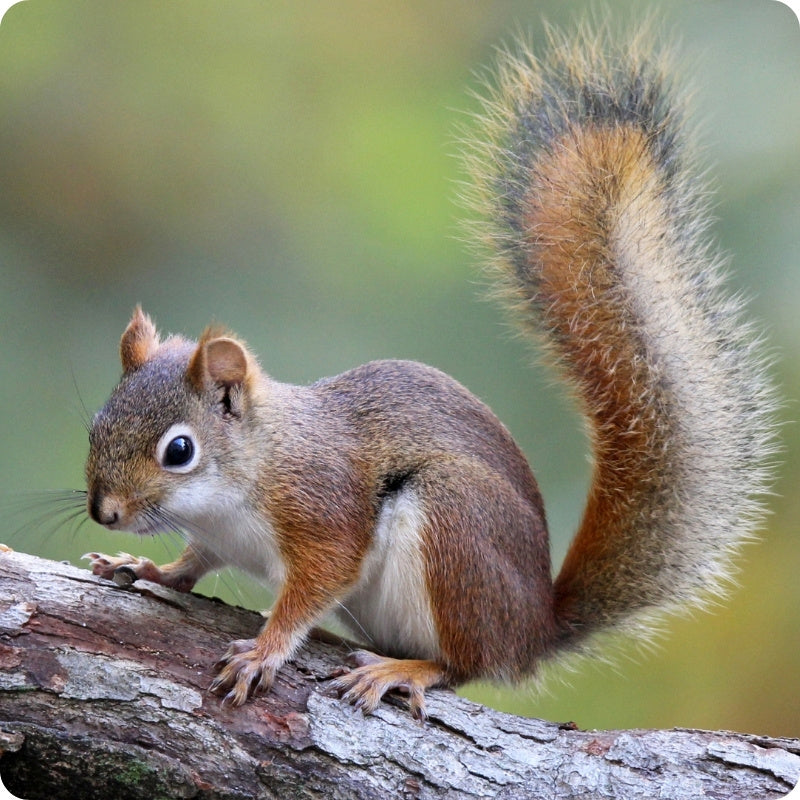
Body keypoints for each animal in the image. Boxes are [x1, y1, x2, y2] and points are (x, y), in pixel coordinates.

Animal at [83, 24, 776, 720]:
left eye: (179, 451)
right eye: (96, 424)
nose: (104, 512)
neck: (245, 476)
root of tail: (533, 629)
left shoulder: (322, 511)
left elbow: (314, 586)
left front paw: (265, 650)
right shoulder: (218, 537)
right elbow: (192, 563)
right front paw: (144, 568)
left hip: (452, 526)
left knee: (467, 663)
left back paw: (404, 668)